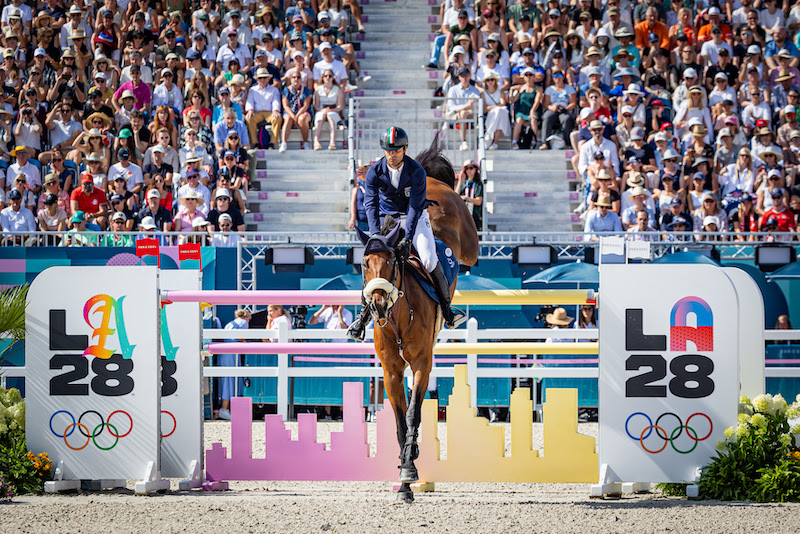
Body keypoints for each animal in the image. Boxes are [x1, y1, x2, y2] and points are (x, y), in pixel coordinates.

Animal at [354, 140, 478, 504]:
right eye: (364, 264)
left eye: (392, 263)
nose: (378, 304)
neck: (397, 319)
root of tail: (433, 182)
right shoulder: (392, 370)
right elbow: (398, 420)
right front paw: (406, 477)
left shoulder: (422, 362)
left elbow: (413, 414)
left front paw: (409, 470)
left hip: (467, 240)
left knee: (469, 251)